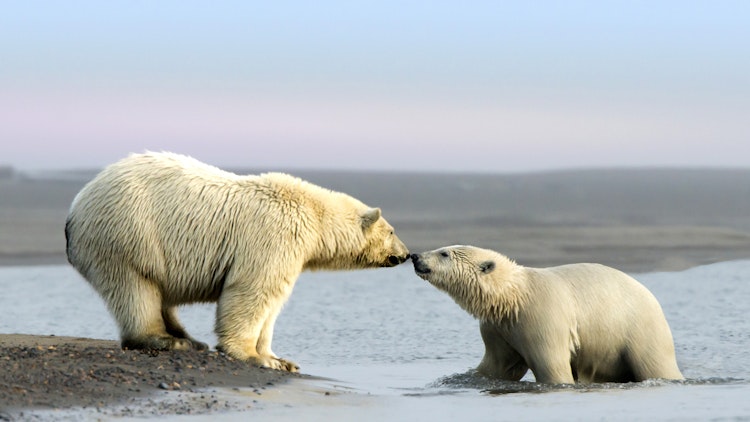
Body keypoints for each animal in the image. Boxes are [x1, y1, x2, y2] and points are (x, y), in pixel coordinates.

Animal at [66, 151, 412, 370]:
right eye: (392, 230)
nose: (406, 254)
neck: (313, 215)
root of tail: (74, 209)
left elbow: (274, 301)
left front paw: (280, 358)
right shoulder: (275, 235)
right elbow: (253, 290)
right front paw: (256, 357)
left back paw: (187, 337)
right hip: (127, 233)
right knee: (135, 287)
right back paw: (169, 340)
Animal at [414, 244, 684, 386]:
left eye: (444, 253)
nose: (416, 256)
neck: (514, 296)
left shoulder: (542, 317)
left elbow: (552, 367)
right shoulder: (500, 327)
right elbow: (497, 365)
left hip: (637, 328)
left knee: (654, 362)